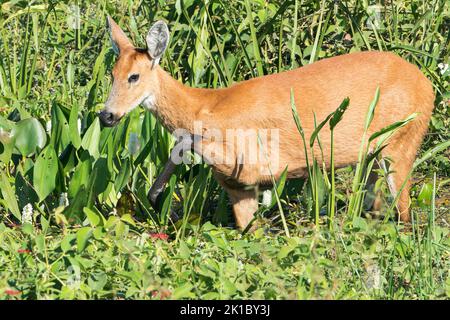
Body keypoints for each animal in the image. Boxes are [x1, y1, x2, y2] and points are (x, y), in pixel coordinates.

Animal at [99, 17, 436, 231]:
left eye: (134, 76)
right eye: (112, 74)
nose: (106, 116)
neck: (207, 105)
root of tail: (427, 84)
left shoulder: (251, 169)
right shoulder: (236, 185)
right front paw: (156, 192)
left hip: (402, 141)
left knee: (405, 213)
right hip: (373, 158)